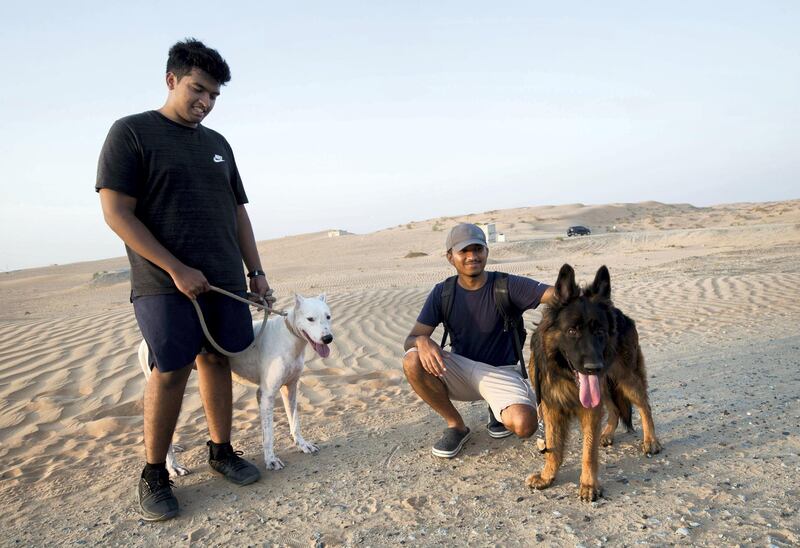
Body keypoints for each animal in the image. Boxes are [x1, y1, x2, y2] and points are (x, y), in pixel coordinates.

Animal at [139, 294, 332, 474]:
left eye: (328, 316)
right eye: (310, 319)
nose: (328, 338)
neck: (289, 336)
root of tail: (143, 342)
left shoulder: (290, 388)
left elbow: (295, 422)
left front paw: (303, 444)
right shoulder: (266, 395)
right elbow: (268, 435)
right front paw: (271, 460)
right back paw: (173, 467)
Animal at [524, 264, 664, 500]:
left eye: (599, 331)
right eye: (572, 331)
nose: (593, 367)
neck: (565, 375)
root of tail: (621, 313)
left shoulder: (589, 409)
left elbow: (588, 452)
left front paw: (589, 484)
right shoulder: (551, 407)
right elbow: (553, 447)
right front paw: (547, 477)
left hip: (626, 379)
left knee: (644, 406)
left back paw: (650, 440)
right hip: (605, 386)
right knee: (615, 409)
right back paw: (607, 433)